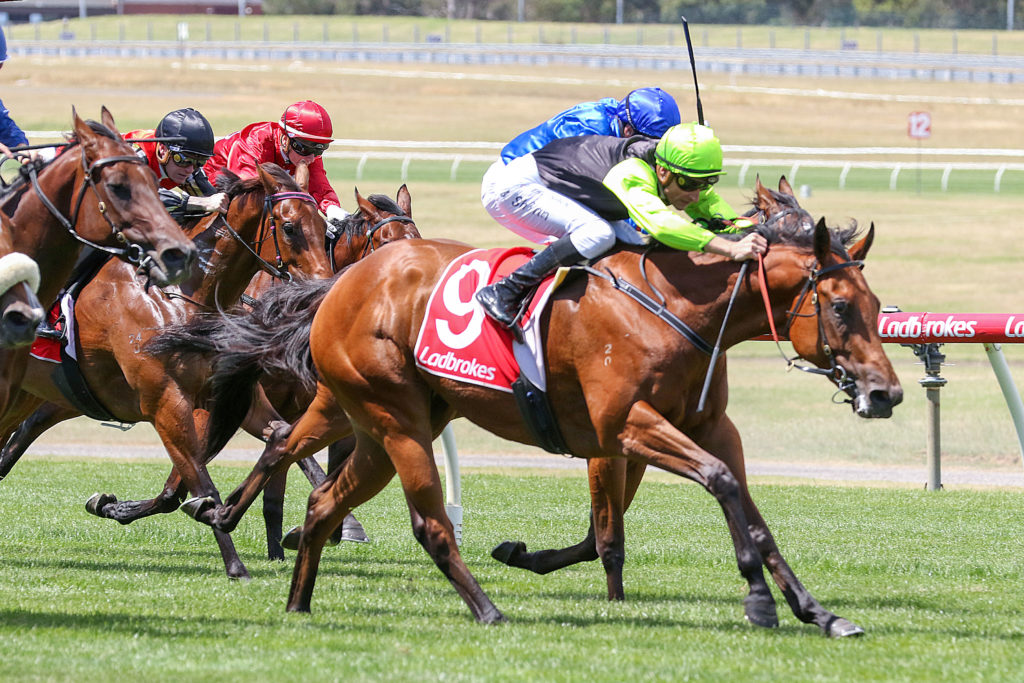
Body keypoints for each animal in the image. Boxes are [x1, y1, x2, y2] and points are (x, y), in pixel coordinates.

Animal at [0, 185, 419, 575]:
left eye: (416, 241)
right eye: (386, 244)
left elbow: (283, 462)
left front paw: (298, 536)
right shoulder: (210, 402)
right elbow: (187, 480)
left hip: (73, 391)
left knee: (27, 426)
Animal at [170, 192, 901, 635]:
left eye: (876, 304)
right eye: (841, 307)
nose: (886, 392)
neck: (678, 306)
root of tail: (341, 281)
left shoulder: (709, 427)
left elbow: (749, 509)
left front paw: (817, 610)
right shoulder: (625, 426)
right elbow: (713, 488)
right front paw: (757, 598)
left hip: (383, 423)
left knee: (320, 497)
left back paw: (294, 596)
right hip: (394, 416)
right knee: (426, 522)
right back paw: (488, 610)